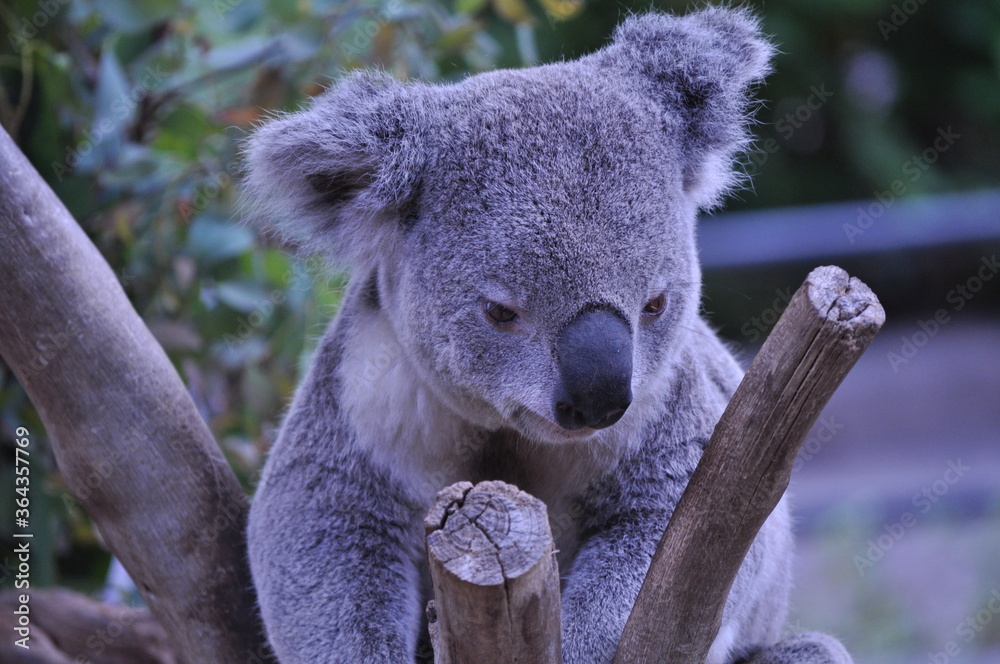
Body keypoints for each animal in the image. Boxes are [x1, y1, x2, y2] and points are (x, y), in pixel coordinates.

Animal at [241, 7, 853, 664]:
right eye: (500, 312)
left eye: (656, 305)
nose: (600, 402)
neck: (509, 430)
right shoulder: (365, 389)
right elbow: (320, 530)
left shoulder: (669, 410)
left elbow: (679, 537)